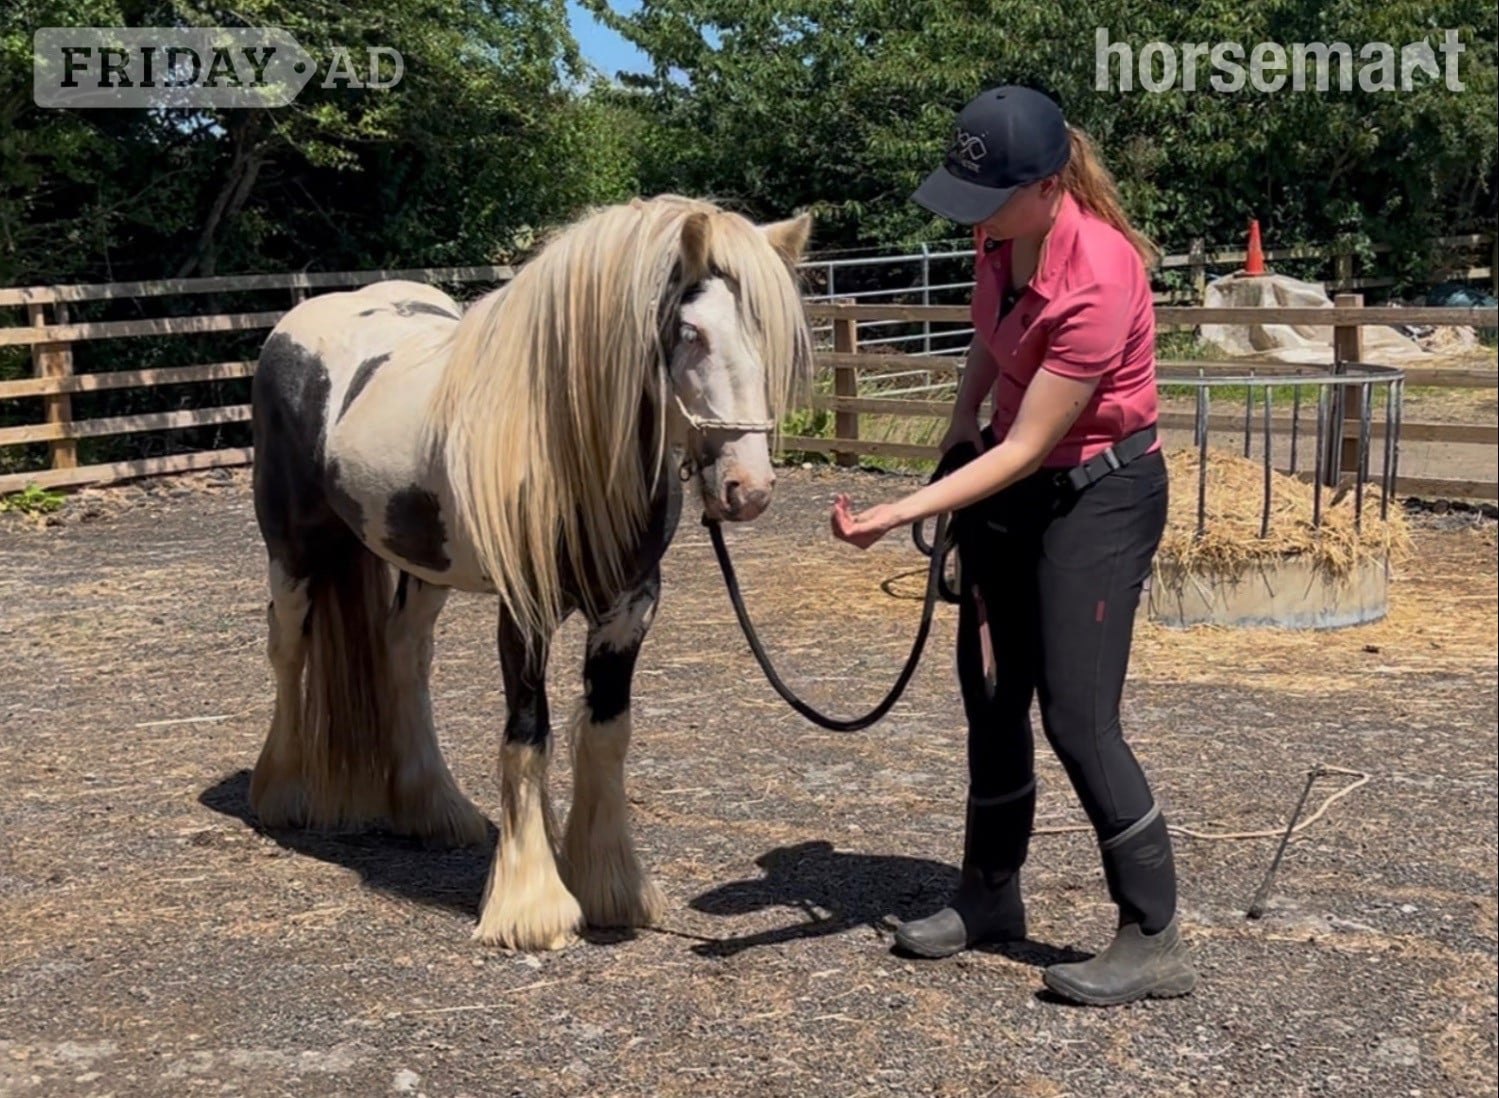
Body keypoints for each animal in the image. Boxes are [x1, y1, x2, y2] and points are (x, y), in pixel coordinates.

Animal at [245, 194, 815, 951]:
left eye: (769, 336)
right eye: (691, 331)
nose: (746, 490)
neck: (570, 448)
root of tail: (298, 323)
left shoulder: (629, 606)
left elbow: (604, 733)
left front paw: (609, 886)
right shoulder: (525, 611)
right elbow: (527, 734)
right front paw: (530, 905)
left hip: (423, 565)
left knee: (403, 656)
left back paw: (433, 808)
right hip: (293, 549)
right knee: (287, 649)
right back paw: (281, 794)